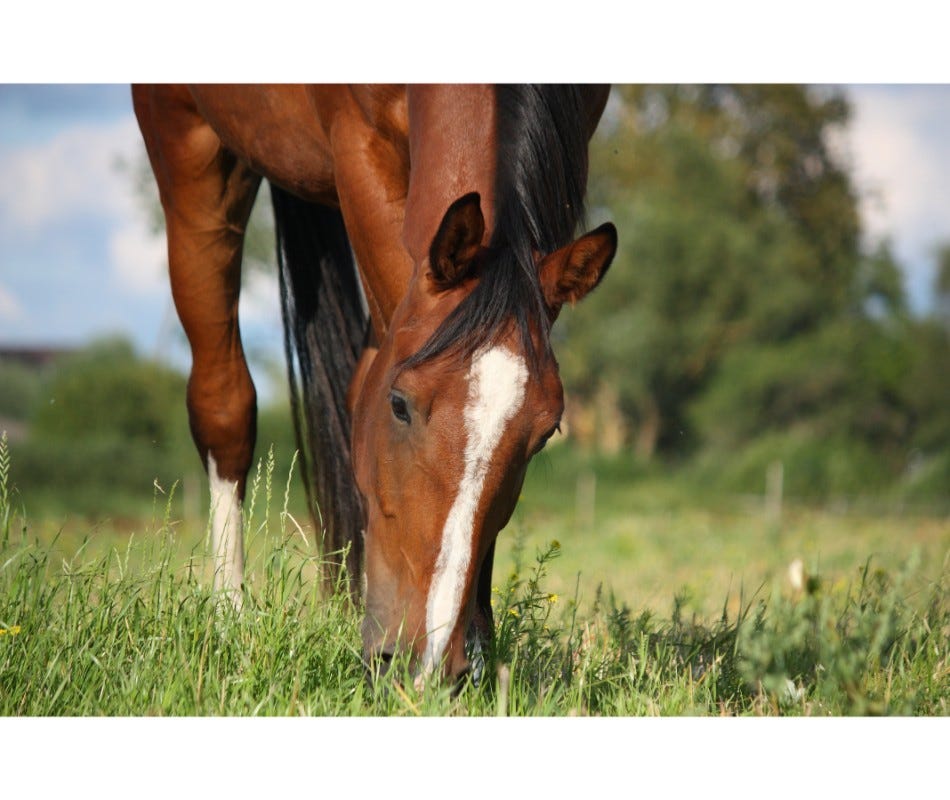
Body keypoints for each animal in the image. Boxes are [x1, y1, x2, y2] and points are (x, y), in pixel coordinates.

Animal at [134, 87, 616, 688]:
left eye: (545, 433)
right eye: (400, 405)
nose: (426, 663)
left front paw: (479, 649)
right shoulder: (357, 144)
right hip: (191, 146)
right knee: (224, 403)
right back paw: (229, 614)